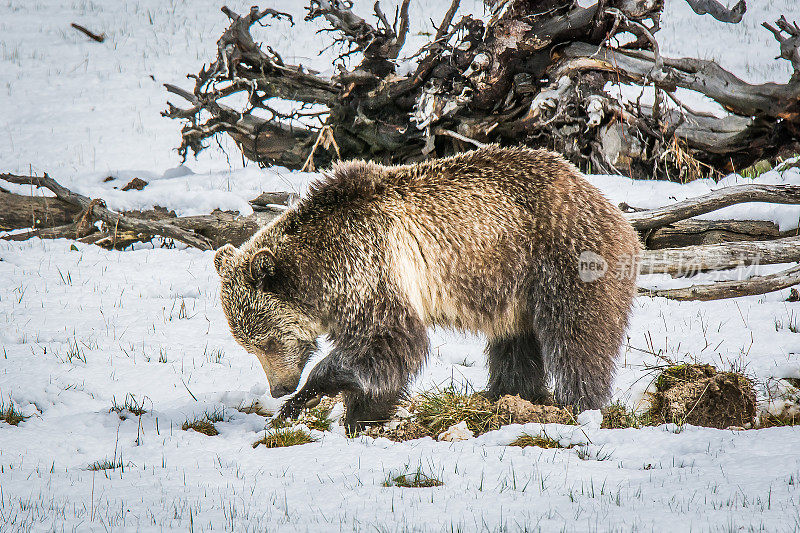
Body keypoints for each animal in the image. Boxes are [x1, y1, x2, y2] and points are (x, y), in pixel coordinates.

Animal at [216, 145, 640, 432]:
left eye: (267, 341)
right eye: (248, 345)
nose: (279, 388)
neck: (321, 271)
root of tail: (612, 207)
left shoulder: (372, 265)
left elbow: (387, 341)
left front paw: (310, 397)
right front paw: (364, 412)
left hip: (565, 257)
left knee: (577, 337)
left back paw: (576, 405)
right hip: (513, 287)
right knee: (515, 344)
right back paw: (508, 395)